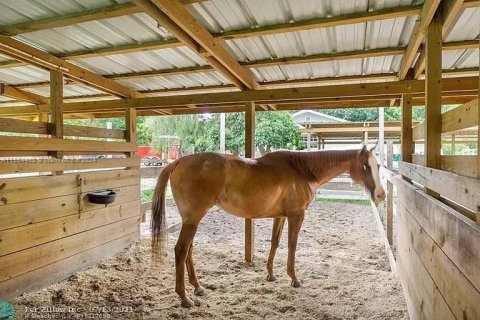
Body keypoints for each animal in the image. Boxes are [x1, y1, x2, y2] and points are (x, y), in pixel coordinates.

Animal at [153, 147, 386, 308]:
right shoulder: (296, 216)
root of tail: (180, 161)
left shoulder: (280, 217)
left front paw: (271, 275)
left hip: (191, 219)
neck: (303, 169)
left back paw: (198, 287)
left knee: (189, 251)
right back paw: (184, 298)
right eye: (365, 166)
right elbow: (292, 245)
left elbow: (275, 242)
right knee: (181, 251)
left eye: (378, 166)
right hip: (193, 219)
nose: (381, 195)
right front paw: (294, 278)